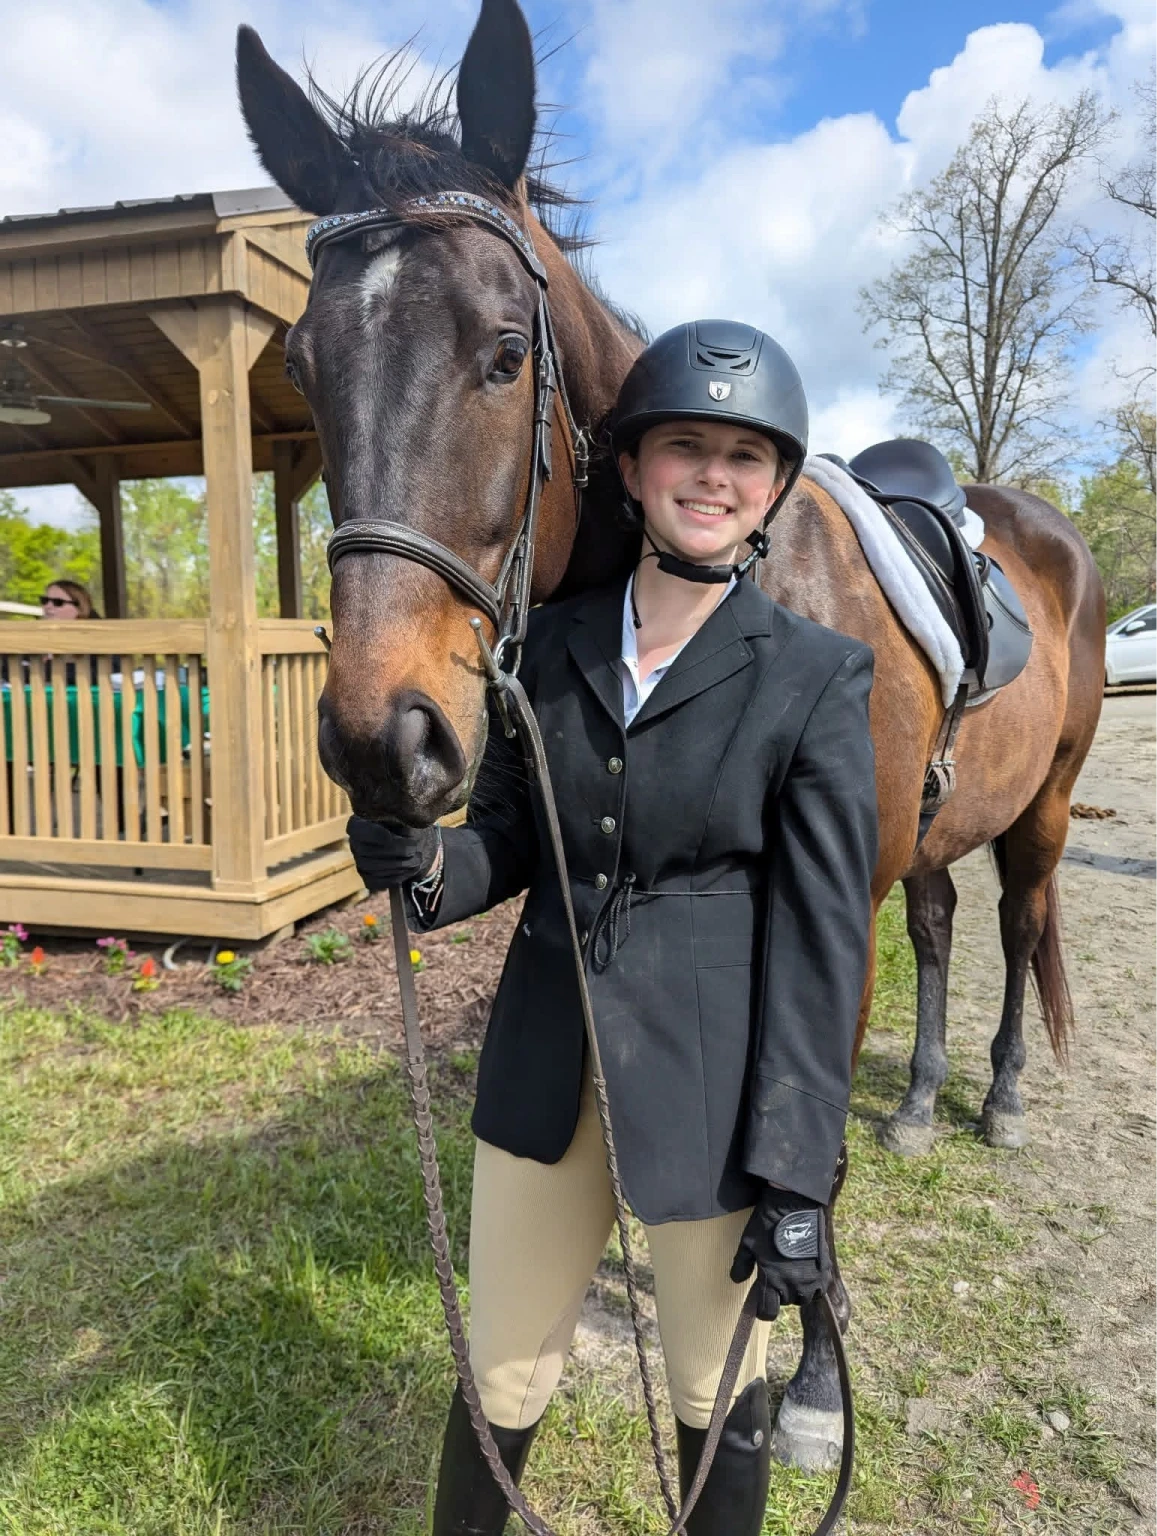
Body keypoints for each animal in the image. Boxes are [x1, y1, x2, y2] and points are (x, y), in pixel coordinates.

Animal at [236, 0, 1106, 1473]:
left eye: (503, 352)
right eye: (303, 368)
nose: (378, 741)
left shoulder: (823, 908)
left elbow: (797, 1164)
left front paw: (809, 1383)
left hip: (1039, 811)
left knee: (1014, 920)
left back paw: (991, 1102)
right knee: (941, 927)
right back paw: (921, 1102)